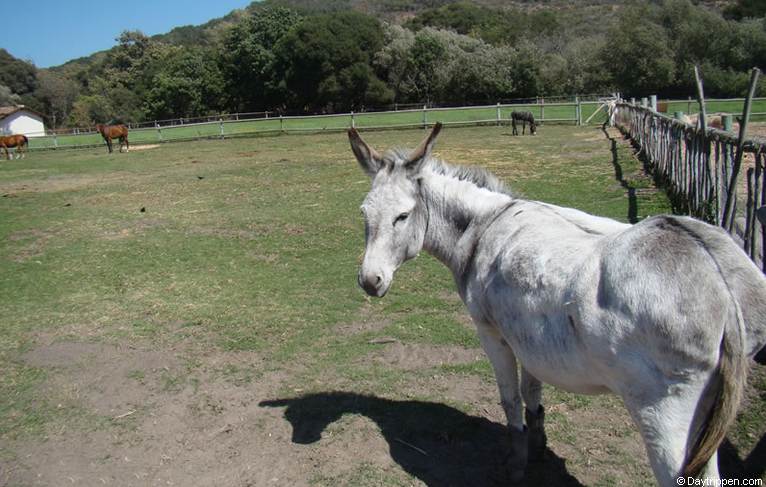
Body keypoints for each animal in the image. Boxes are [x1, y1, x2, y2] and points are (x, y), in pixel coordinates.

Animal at [350, 124, 766, 486]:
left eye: (402, 216)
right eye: (364, 214)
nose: (370, 281)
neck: (483, 226)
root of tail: (719, 281)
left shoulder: (491, 333)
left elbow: (510, 399)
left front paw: (516, 466)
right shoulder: (528, 336)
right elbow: (533, 394)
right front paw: (536, 447)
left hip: (663, 412)